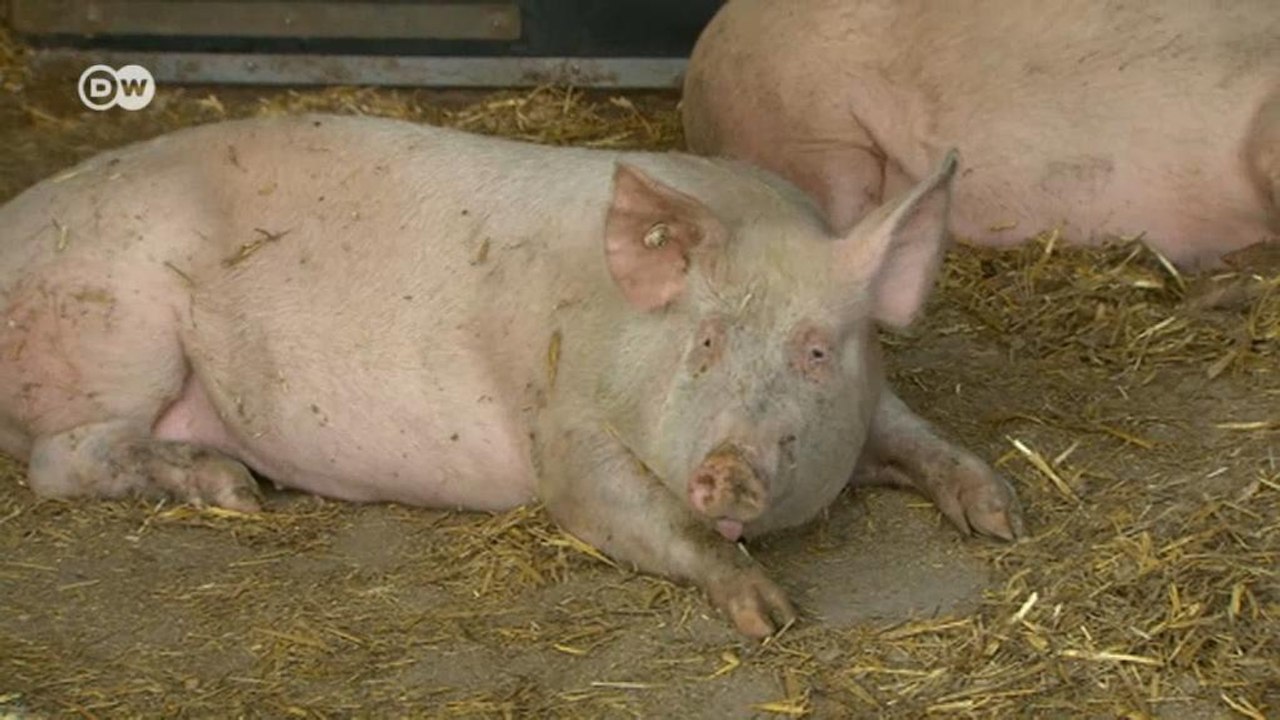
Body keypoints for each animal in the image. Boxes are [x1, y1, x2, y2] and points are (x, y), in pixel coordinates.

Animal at [0, 114, 1021, 637]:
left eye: (814, 350)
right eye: (704, 342)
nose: (726, 467)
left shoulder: (874, 397)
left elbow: (926, 440)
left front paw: (1004, 517)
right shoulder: (563, 433)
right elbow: (626, 509)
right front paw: (766, 614)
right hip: (117, 336)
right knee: (60, 461)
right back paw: (232, 490)